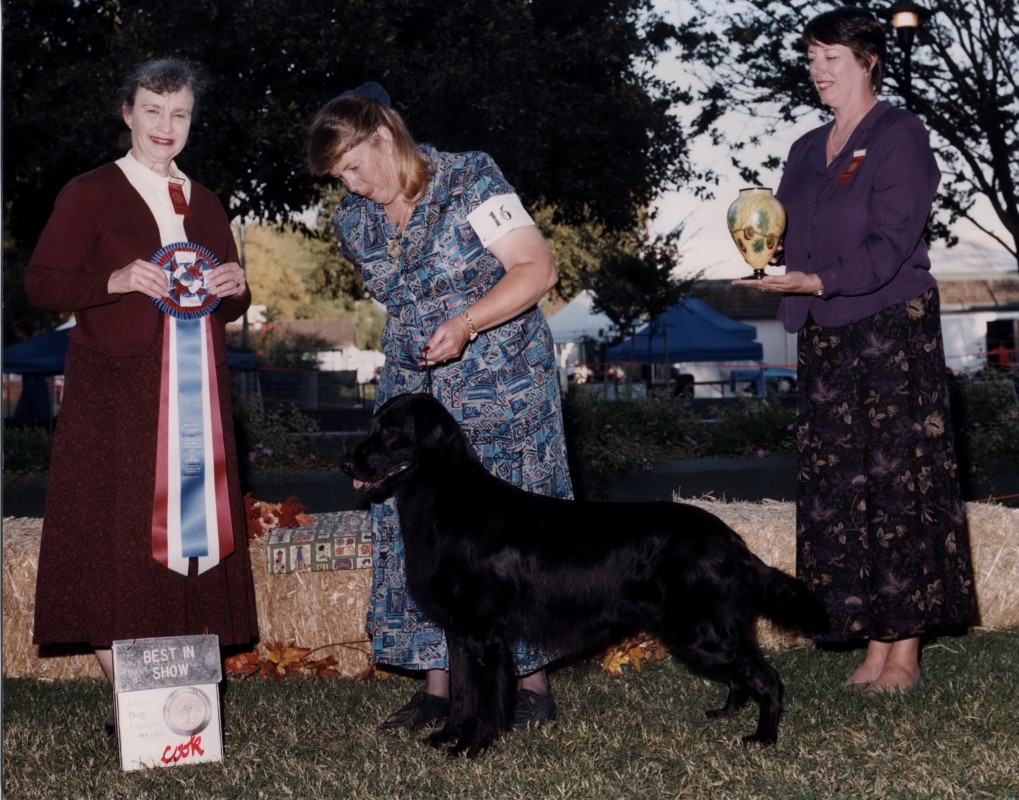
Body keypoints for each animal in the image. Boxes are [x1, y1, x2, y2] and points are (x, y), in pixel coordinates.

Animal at [342, 393, 827, 754]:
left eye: (391, 432)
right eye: (372, 425)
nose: (347, 464)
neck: (450, 502)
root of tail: (731, 540)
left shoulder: (484, 633)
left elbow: (483, 699)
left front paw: (471, 746)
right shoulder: (459, 633)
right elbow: (461, 694)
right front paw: (446, 737)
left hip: (701, 632)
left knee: (768, 678)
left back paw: (763, 737)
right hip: (699, 634)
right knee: (743, 676)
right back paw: (726, 713)